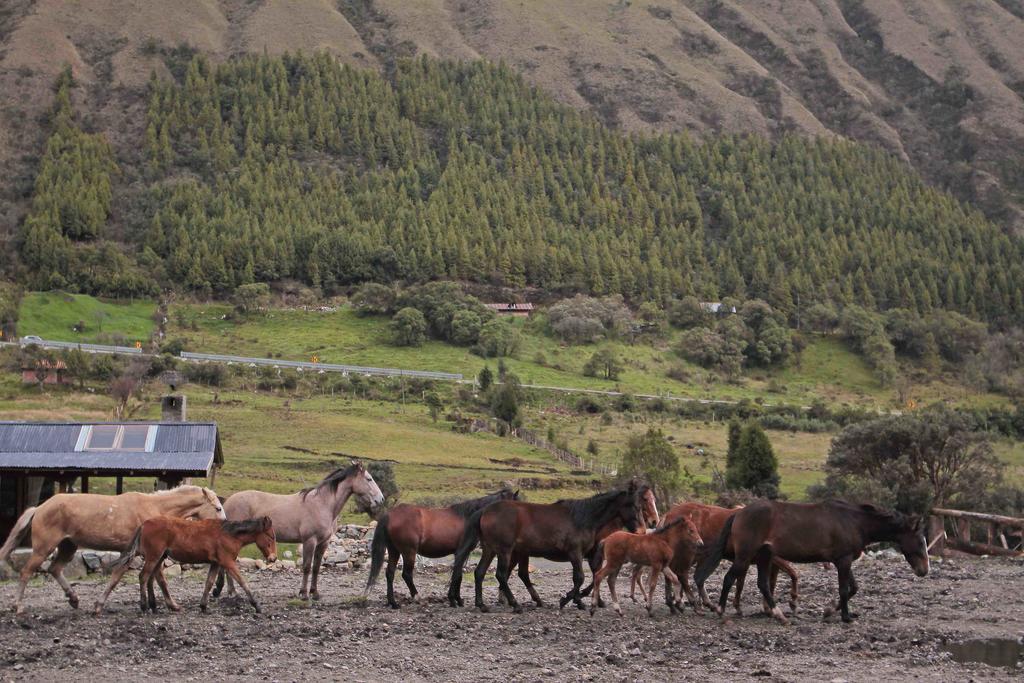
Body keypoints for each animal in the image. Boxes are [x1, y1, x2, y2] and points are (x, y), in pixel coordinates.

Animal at [0, 489, 224, 618]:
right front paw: (172, 605)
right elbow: (154, 579)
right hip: (43, 548)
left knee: (55, 569)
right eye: (218, 508)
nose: (225, 525)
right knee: (26, 572)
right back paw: (17, 606)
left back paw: (74, 599)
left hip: (68, 546)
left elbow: (124, 578)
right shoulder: (147, 554)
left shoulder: (140, 554)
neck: (153, 508)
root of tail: (39, 508)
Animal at [96, 516, 278, 618]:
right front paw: (257, 605)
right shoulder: (228, 562)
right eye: (271, 536)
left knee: (138, 575)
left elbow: (209, 583)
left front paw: (204, 606)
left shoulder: (216, 563)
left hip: (156, 557)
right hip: (153, 556)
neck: (229, 534)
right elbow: (242, 581)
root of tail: (144, 524)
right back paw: (145, 606)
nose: (273, 558)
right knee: (143, 576)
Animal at [362, 485, 520, 610]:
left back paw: (393, 603)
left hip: (394, 551)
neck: (468, 517)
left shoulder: (460, 553)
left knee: (390, 573)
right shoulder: (462, 552)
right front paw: (455, 600)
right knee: (406, 574)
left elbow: (458, 574)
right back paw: (417, 597)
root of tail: (390, 514)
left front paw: (456, 599)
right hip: (408, 552)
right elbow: (458, 575)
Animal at [446, 483, 638, 610]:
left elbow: (585, 578)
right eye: (631, 504)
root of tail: (485, 510)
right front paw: (569, 600)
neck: (582, 518)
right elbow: (579, 578)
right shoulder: (575, 553)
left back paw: (481, 604)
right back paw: (515, 604)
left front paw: (576, 600)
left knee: (480, 572)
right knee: (501, 575)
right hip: (504, 551)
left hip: (490, 549)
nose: (637, 529)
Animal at [696, 497, 929, 626]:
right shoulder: (843, 561)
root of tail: (738, 513)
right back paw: (721, 611)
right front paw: (845, 617)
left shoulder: (844, 560)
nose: (924, 571)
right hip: (745, 556)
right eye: (919, 540)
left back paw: (779, 615)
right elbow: (844, 589)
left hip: (764, 556)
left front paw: (830, 611)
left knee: (762, 585)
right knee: (729, 579)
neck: (853, 522)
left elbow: (853, 588)